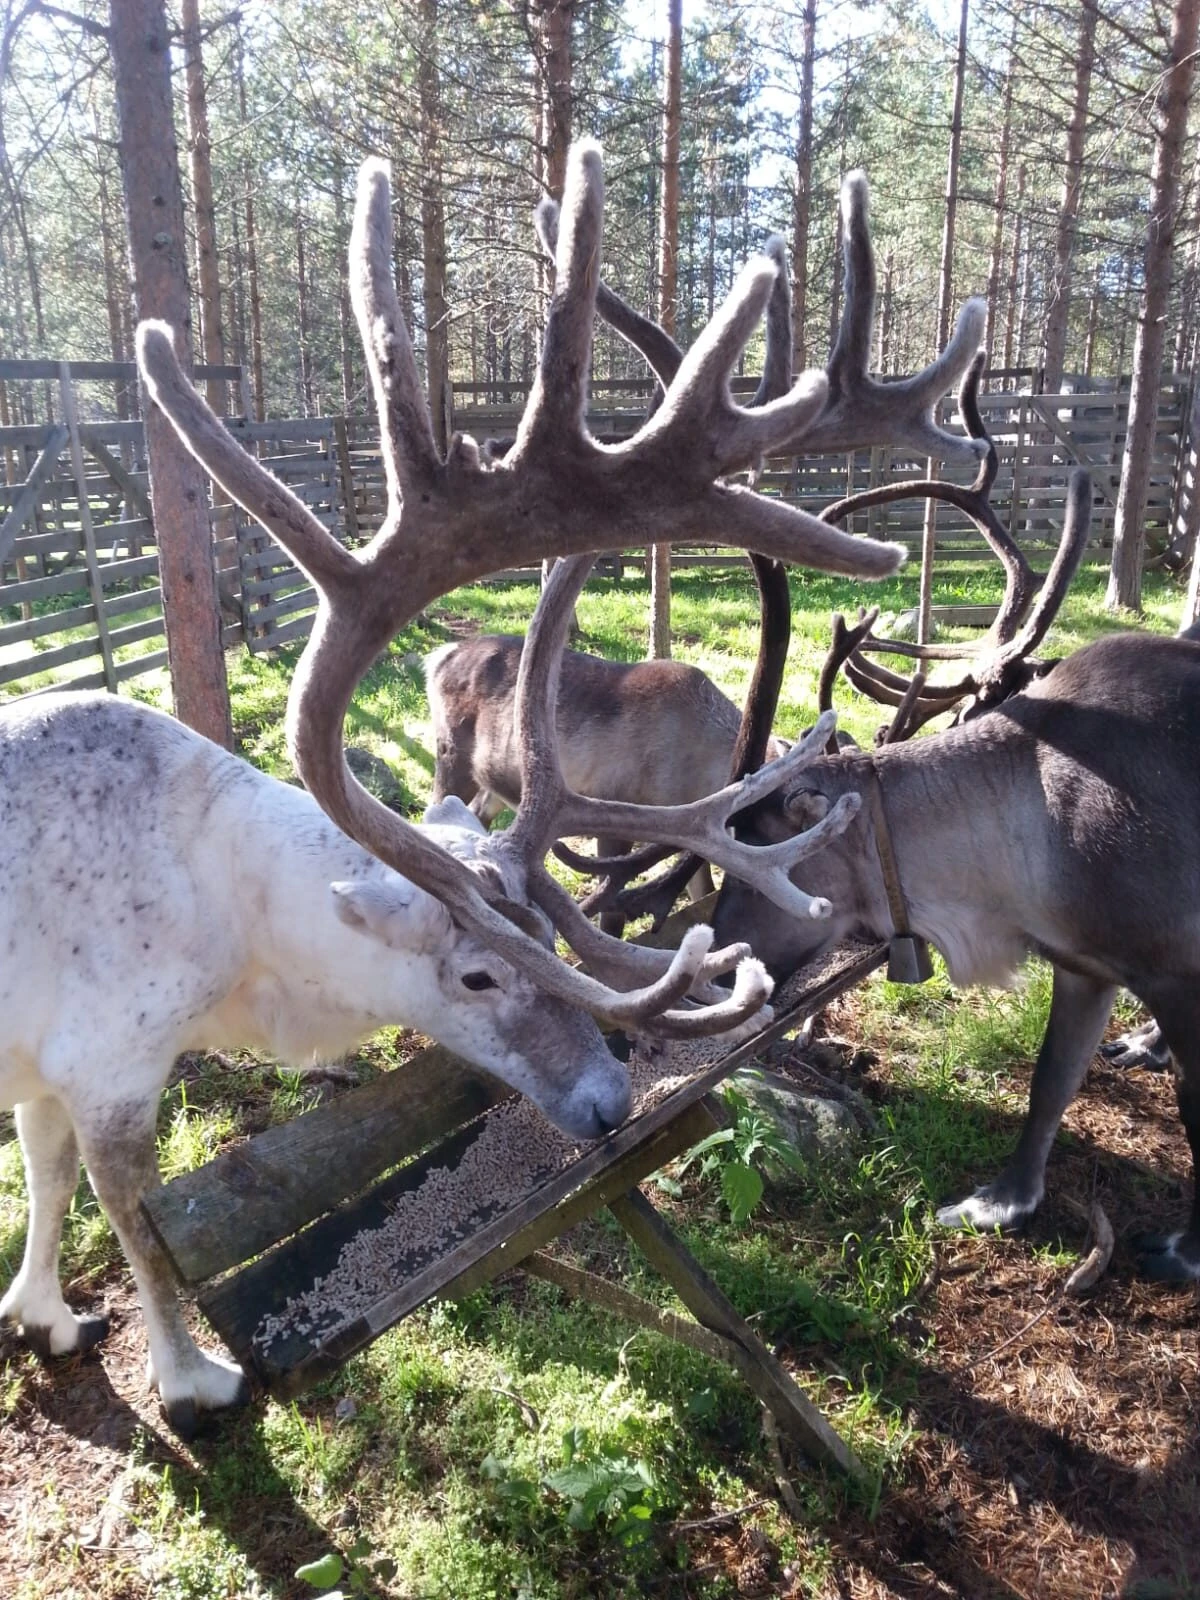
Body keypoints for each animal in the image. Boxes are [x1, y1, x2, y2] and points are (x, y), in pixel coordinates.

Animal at [0, 144, 993, 1435]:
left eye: (550, 941)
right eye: (475, 972)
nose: (610, 1102)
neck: (241, 941)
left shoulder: (42, 1053)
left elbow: (44, 1172)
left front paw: (40, 1311)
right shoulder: (110, 1053)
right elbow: (132, 1217)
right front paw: (188, 1376)